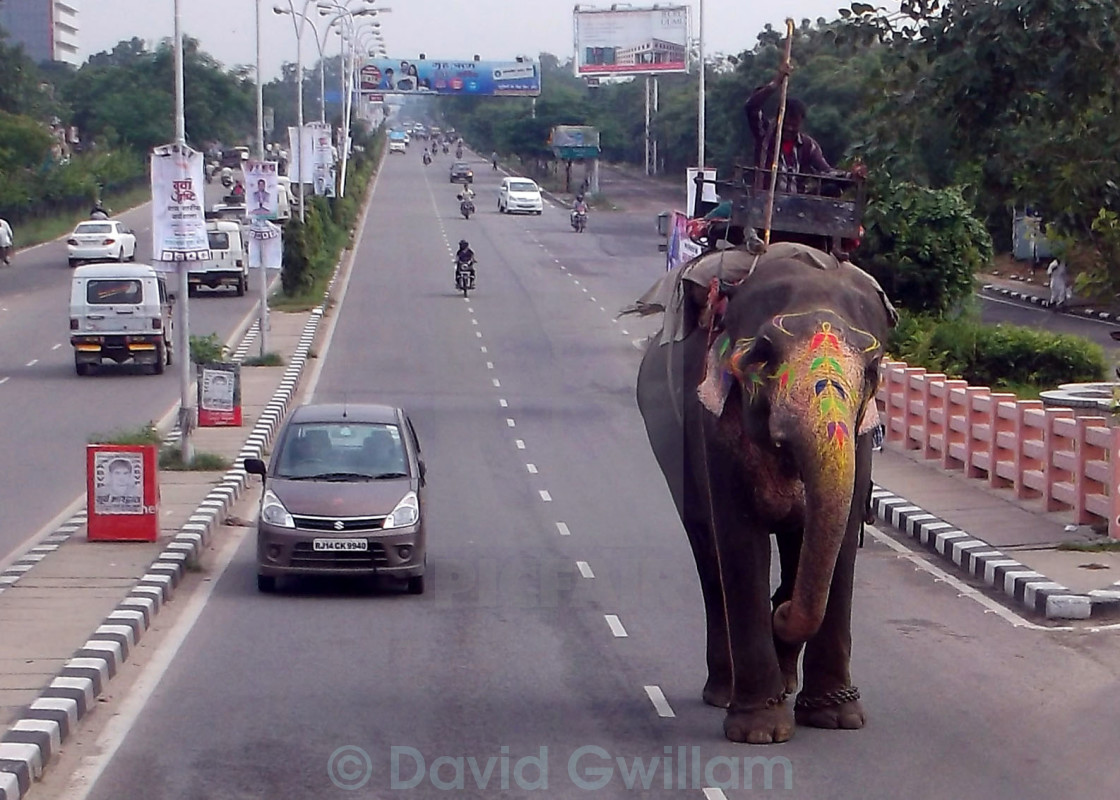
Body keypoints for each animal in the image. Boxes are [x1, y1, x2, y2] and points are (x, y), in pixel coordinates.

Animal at [636, 243, 896, 739]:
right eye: (761, 356)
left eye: (873, 370)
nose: (782, 611)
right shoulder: (714, 425)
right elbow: (739, 538)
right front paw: (760, 731)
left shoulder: (858, 439)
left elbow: (840, 537)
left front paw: (837, 720)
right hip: (670, 449)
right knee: (708, 551)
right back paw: (725, 692)